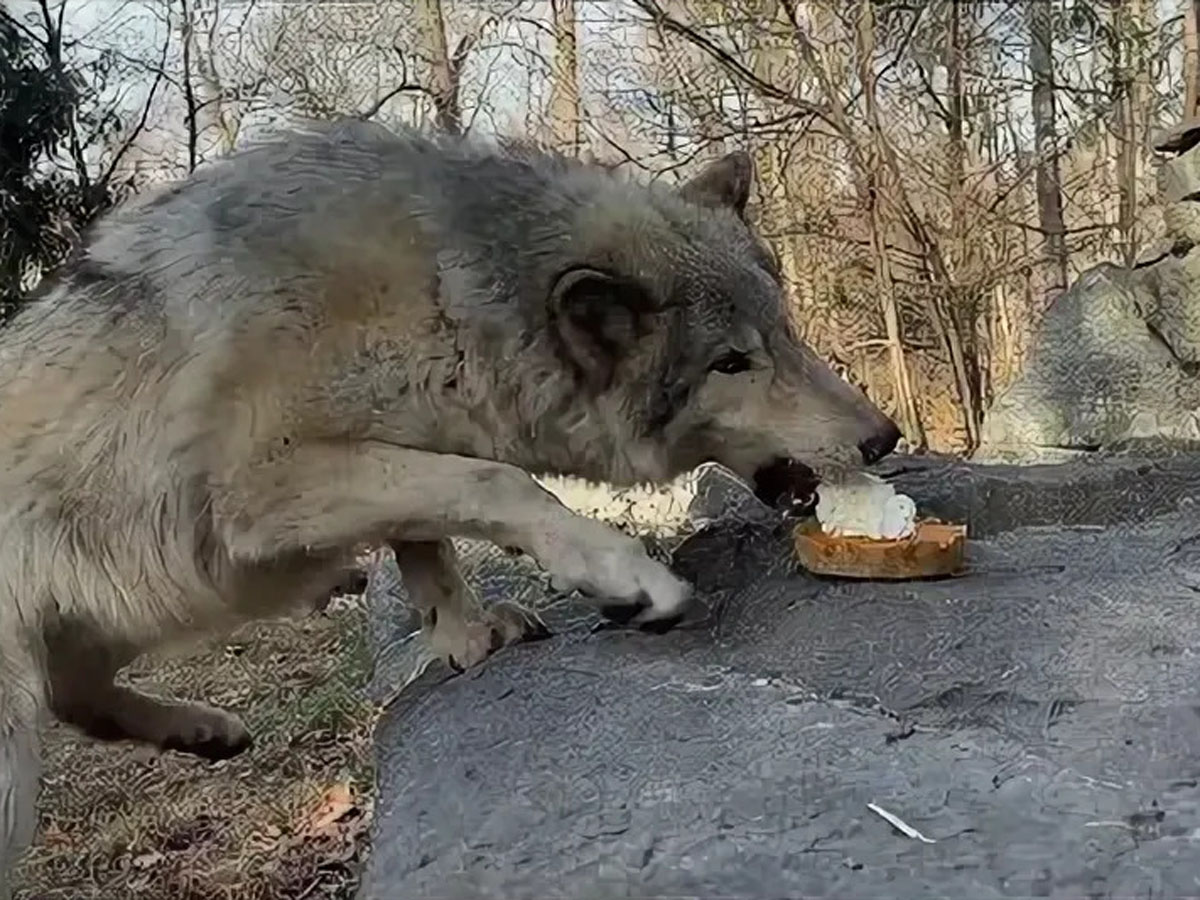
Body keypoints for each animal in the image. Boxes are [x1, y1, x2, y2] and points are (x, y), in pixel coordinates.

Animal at [0, 118, 899, 891]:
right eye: (732, 363)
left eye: (785, 334)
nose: (884, 436)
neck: (440, 289)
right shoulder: (263, 484)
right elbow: (492, 484)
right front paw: (621, 575)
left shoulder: (406, 441)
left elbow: (427, 536)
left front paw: (466, 638)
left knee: (78, 695)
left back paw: (203, 729)